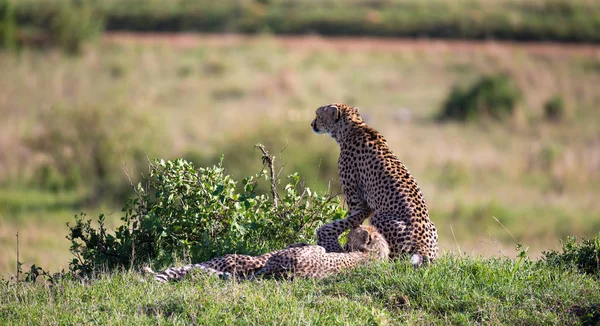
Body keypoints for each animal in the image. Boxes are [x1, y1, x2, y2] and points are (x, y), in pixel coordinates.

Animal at [312, 103, 438, 266]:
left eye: (318, 115)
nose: (312, 124)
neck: (353, 127)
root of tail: (423, 246)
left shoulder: (356, 200)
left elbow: (355, 223)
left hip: (379, 218)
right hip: (432, 227)